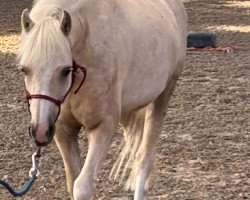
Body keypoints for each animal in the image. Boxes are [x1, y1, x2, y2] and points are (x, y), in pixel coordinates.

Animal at [19, 0, 188, 198]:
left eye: (66, 70)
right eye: (24, 69)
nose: (40, 131)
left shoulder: (102, 127)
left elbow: (82, 187)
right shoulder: (63, 130)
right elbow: (72, 182)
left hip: (163, 97)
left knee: (143, 159)